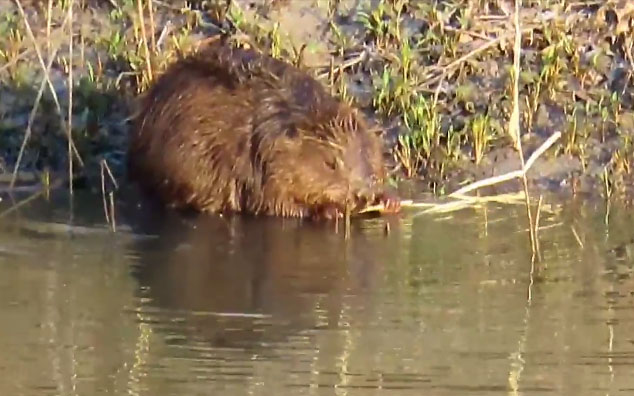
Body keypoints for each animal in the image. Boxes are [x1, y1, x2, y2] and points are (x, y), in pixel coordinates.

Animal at [126, 42, 398, 220]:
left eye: (366, 154)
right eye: (330, 164)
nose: (361, 195)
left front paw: (389, 200)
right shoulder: (262, 166)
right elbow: (274, 203)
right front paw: (332, 211)